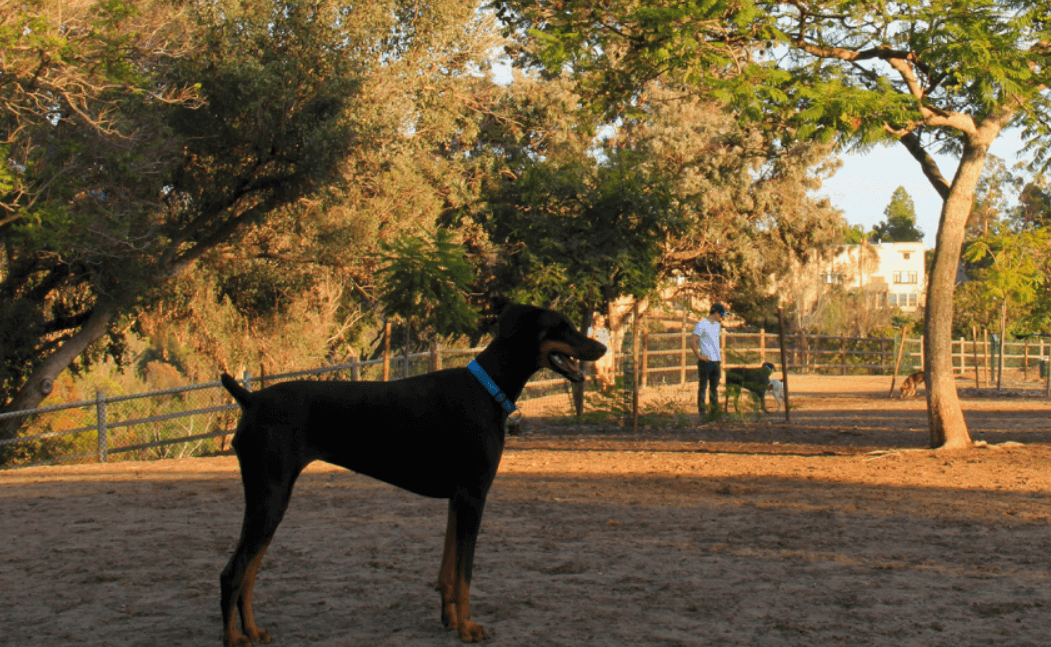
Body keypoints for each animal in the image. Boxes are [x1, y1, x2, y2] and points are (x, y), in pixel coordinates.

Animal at [217, 304, 605, 647]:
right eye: (562, 327)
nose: (601, 347)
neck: (488, 387)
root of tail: (250, 399)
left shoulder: (457, 500)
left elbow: (449, 571)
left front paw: (451, 620)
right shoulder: (473, 497)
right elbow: (465, 574)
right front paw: (469, 628)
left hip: (271, 499)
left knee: (249, 573)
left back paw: (253, 631)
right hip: (270, 496)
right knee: (233, 573)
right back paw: (234, 638)